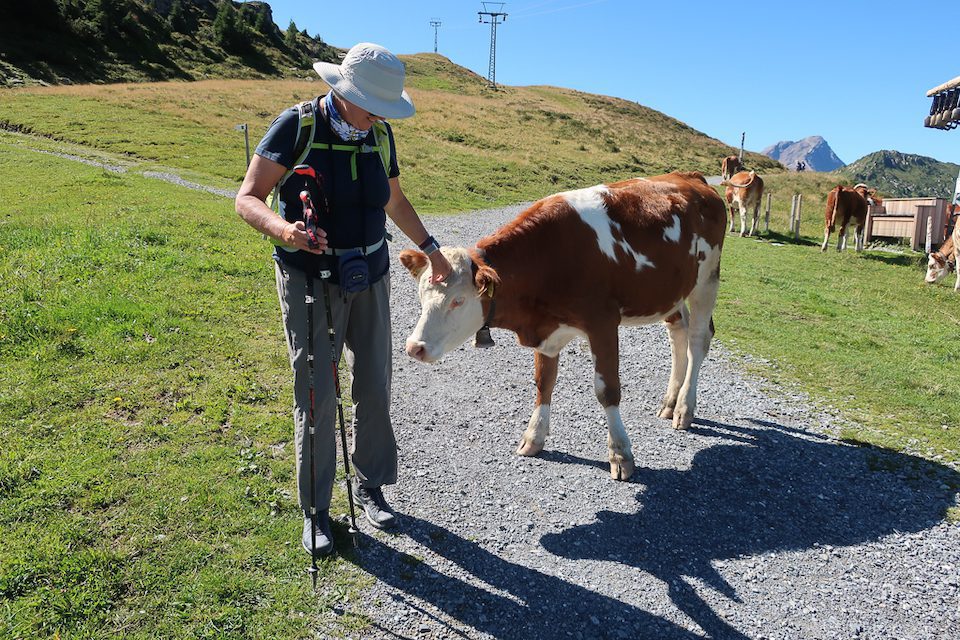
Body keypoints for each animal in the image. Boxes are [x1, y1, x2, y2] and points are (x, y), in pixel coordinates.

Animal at [399, 172, 726, 481]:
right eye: (421, 294)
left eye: (458, 300)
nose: (414, 347)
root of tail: (690, 177)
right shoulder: (547, 331)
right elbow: (544, 382)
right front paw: (534, 437)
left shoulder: (603, 323)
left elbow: (607, 390)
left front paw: (620, 453)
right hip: (671, 291)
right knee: (678, 333)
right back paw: (670, 401)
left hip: (707, 279)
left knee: (698, 339)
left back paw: (684, 408)